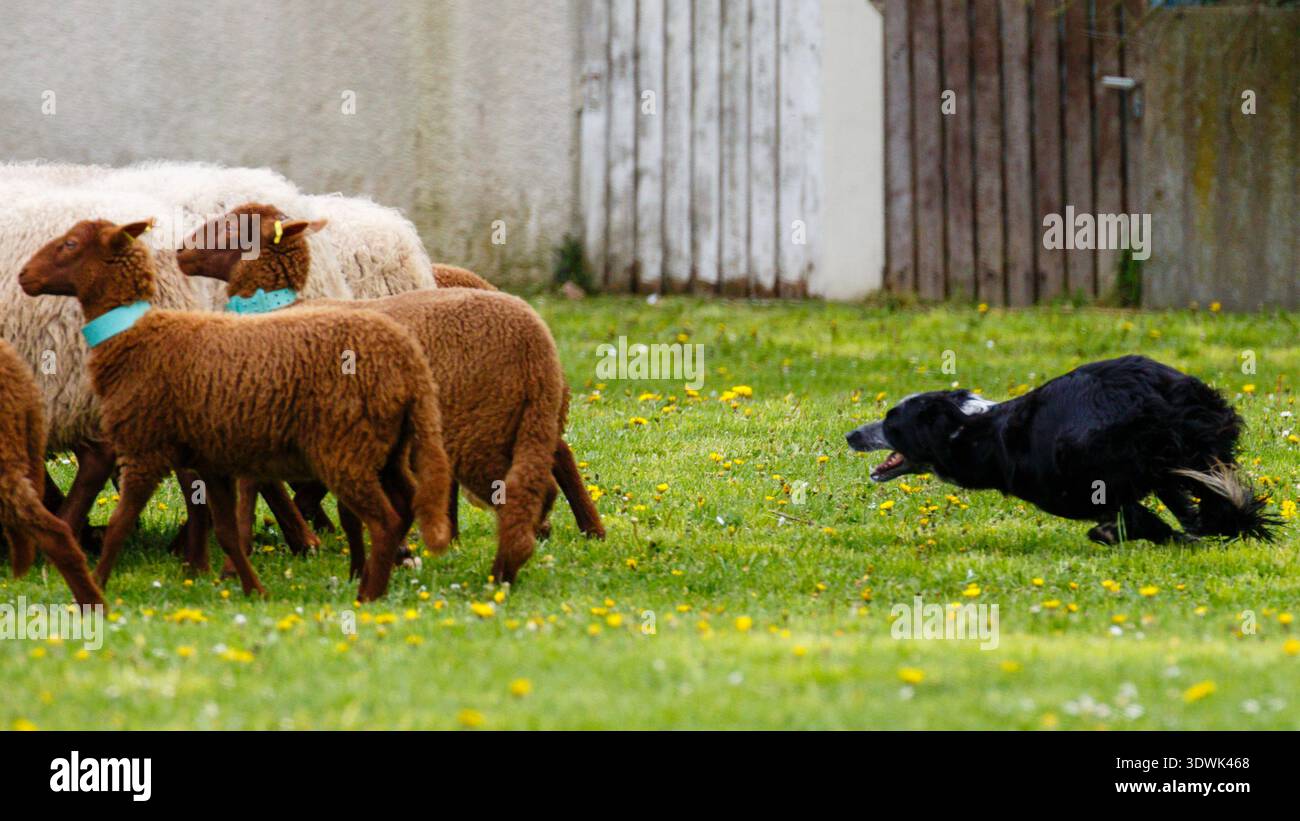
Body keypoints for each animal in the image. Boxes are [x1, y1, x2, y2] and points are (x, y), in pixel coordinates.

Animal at [18, 218, 453, 601]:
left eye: (70, 244)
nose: (24, 275)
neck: (138, 334)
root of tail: (407, 361)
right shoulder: (212, 456)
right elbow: (227, 526)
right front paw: (249, 585)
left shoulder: (148, 452)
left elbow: (121, 522)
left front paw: (95, 585)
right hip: (386, 451)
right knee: (407, 502)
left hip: (344, 449)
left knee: (381, 518)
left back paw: (367, 590)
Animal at [178, 204, 603, 583]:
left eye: (233, 229)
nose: (181, 250)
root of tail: (537, 343)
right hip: (520, 416)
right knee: (545, 471)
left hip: (480, 426)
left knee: (523, 488)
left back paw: (510, 565)